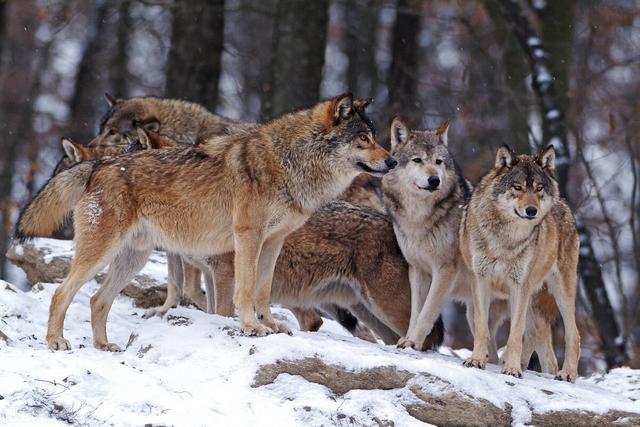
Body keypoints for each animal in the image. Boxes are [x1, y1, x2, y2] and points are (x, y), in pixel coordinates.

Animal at [460, 145, 580, 382]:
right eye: (518, 187)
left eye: (539, 188)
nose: (532, 210)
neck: (505, 239)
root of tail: (564, 205)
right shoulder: (480, 281)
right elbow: (482, 327)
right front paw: (477, 360)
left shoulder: (519, 287)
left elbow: (516, 332)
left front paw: (512, 369)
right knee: (541, 343)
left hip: (559, 293)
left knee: (574, 334)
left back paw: (567, 374)